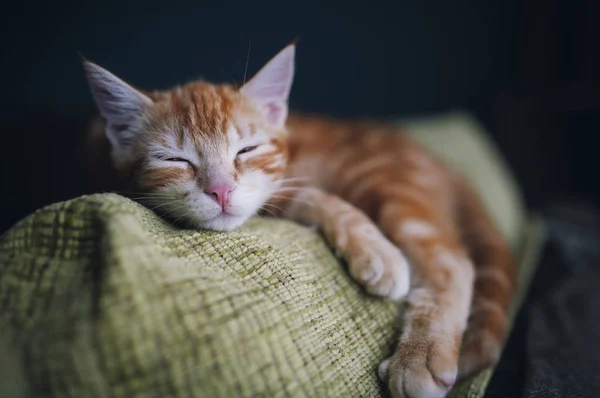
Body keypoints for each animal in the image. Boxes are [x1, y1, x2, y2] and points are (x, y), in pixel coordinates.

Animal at [83, 44, 516, 398]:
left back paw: (420, 355)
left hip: (380, 179)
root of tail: (443, 165)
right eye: (175, 159)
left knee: (451, 259)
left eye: (247, 149)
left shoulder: (286, 184)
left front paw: (380, 254)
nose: (221, 190)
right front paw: (376, 248)